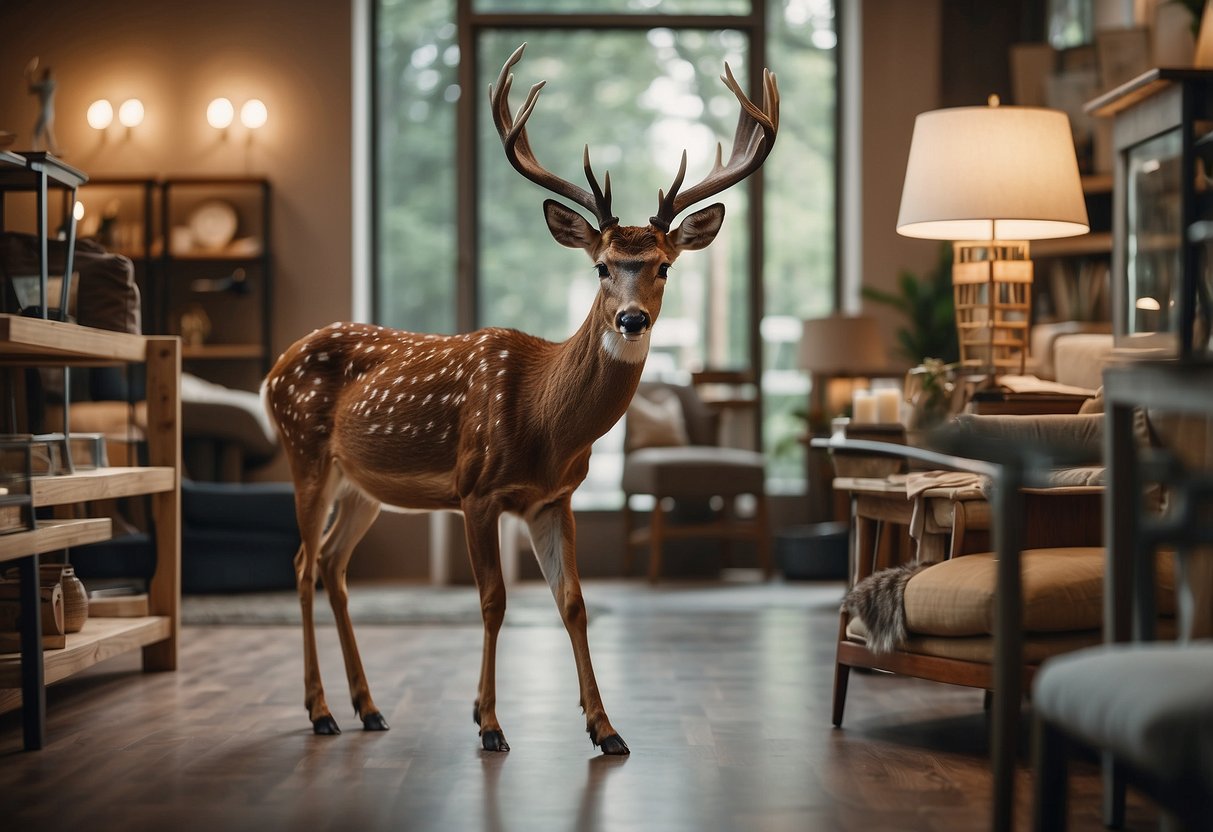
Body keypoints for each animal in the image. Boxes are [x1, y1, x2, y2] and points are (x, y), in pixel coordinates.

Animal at [263, 43, 778, 755]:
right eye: (601, 266)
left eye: (665, 266)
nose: (632, 320)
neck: (541, 420)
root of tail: (273, 371)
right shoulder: (476, 489)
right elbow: (494, 600)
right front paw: (488, 724)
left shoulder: (551, 497)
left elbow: (573, 602)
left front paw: (606, 729)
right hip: (304, 453)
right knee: (301, 564)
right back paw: (319, 712)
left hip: (361, 484)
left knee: (335, 567)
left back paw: (367, 708)